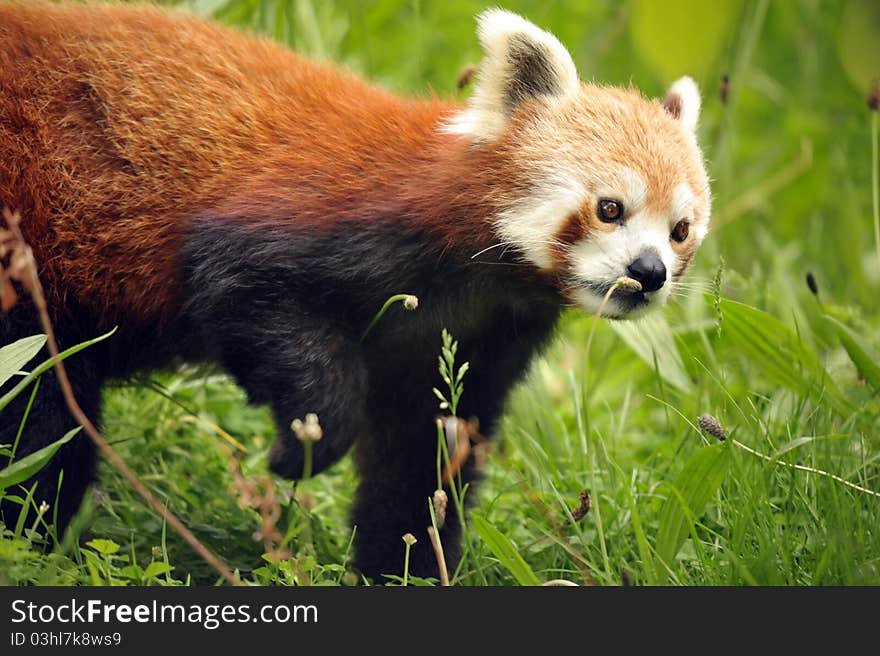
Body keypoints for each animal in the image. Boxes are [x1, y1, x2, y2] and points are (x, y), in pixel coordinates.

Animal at [0, 3, 708, 580]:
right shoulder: (324, 221)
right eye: (610, 208)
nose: (649, 272)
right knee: (39, 416)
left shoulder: (473, 337)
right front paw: (303, 445)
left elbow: (425, 456)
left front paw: (402, 567)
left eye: (681, 230)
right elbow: (244, 293)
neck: (474, 278)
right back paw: (37, 537)